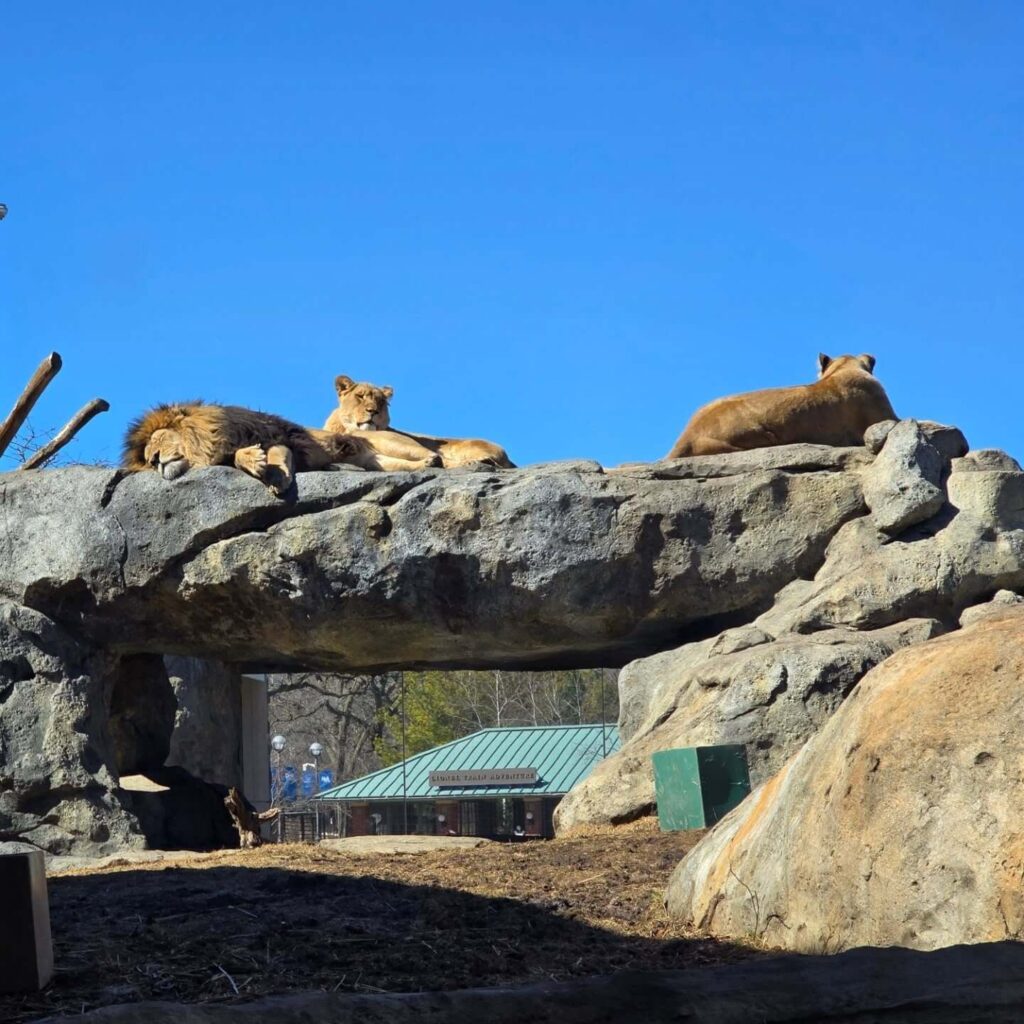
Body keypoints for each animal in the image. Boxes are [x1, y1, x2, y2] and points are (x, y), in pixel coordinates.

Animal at [123, 402, 440, 496]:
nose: (155, 460)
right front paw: (254, 461)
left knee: (426, 454)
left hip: (386, 441)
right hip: (374, 459)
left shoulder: (279, 437)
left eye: (159, 441)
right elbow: (237, 458)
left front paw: (275, 475)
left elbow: (275, 454)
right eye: (148, 461)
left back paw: (433, 460)